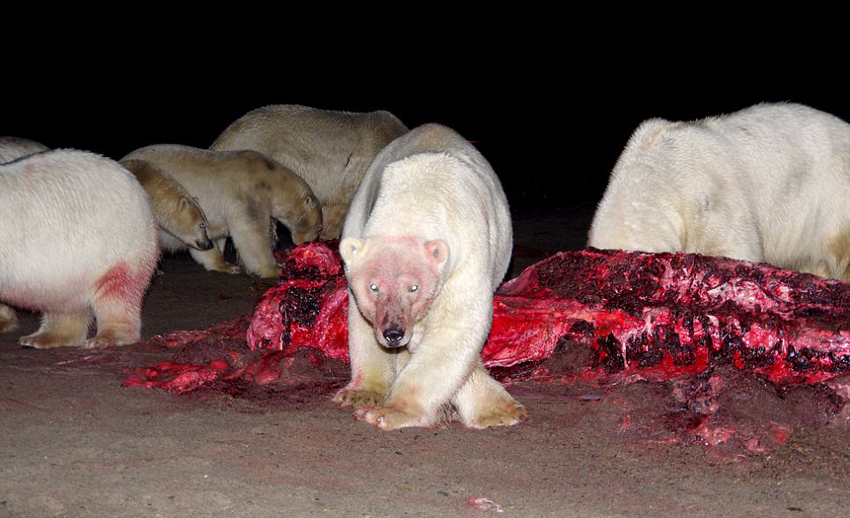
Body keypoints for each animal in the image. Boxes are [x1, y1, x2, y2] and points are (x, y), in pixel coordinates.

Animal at [0, 150, 157, 350]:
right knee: (63, 301)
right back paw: (42, 337)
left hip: (119, 244)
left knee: (117, 292)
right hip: (72, 267)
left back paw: (106, 337)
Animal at [124, 142, 322, 280]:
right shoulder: (247, 194)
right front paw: (275, 268)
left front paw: (224, 264)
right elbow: (252, 234)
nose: (310, 243)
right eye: (319, 227)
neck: (269, 179)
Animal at [332, 124, 524, 432]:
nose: (394, 333)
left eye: (414, 287)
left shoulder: (464, 253)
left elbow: (456, 326)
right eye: (374, 287)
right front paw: (366, 397)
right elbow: (362, 319)